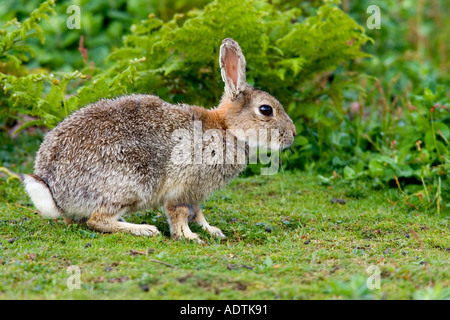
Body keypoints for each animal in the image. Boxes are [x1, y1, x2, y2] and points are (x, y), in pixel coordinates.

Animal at [22, 38, 296, 242]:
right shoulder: (181, 185)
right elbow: (180, 212)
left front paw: (212, 231)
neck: (227, 128)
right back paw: (144, 229)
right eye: (266, 110)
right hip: (131, 182)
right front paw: (188, 236)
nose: (292, 135)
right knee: (96, 220)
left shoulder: (195, 192)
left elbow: (198, 212)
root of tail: (53, 188)